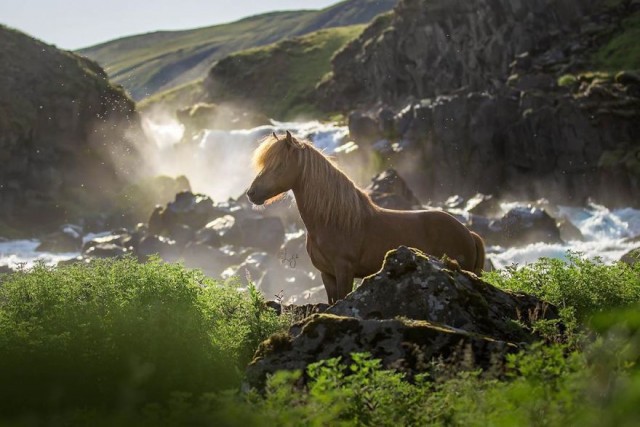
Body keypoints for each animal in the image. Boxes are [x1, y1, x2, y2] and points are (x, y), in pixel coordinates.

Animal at [246, 131, 484, 304]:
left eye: (279, 165)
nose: (251, 193)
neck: (333, 221)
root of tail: (469, 233)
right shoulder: (327, 275)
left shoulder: (344, 271)